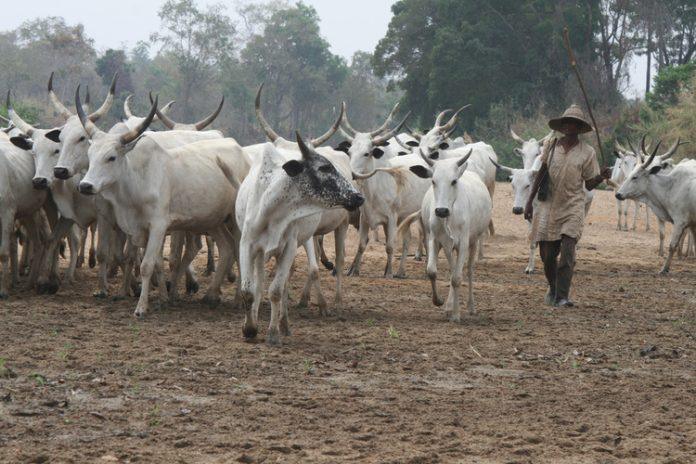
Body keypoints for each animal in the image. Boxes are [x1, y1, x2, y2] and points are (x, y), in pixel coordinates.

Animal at [228, 133, 364, 345]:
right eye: (324, 167)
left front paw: (273, 333)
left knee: (284, 285)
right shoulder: (247, 245)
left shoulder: (289, 247)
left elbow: (276, 291)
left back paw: (284, 324)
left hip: (304, 240)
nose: (358, 197)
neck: (271, 209)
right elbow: (249, 292)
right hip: (262, 253)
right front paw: (249, 328)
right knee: (260, 284)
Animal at [399, 148, 492, 322]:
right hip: (448, 246)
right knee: (452, 268)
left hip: (474, 241)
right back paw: (449, 306)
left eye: (454, 181)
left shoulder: (463, 243)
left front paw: (456, 315)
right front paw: (440, 301)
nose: (441, 210)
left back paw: (471, 306)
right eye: (433, 181)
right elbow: (432, 271)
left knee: (468, 270)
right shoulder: (435, 240)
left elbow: (457, 278)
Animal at [616, 140, 696, 274]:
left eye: (635, 177)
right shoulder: (692, 224)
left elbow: (672, 246)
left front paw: (664, 269)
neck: (671, 186)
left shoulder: (680, 222)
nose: (618, 194)